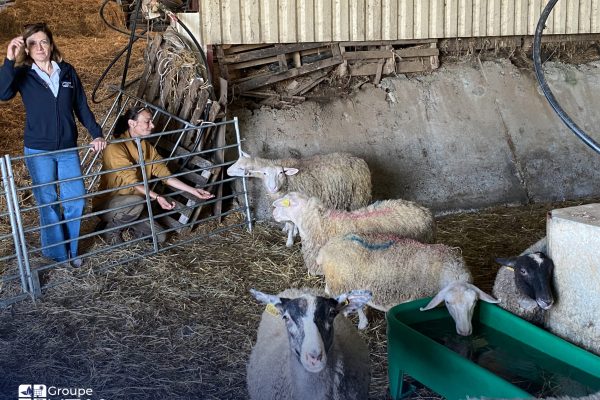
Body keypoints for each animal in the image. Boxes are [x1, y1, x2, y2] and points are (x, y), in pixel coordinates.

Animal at [227, 152, 372, 247]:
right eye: (264, 173)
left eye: (241, 168)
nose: (227, 171)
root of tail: (360, 160)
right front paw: (292, 231)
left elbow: (291, 224)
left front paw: (290, 241)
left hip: (359, 196)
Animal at [316, 233, 500, 332]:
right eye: (448, 303)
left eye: (474, 302)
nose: (465, 331)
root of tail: (327, 246)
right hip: (341, 282)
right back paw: (361, 323)